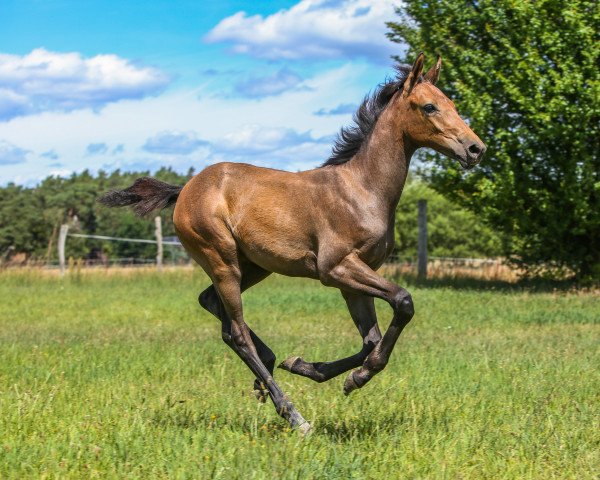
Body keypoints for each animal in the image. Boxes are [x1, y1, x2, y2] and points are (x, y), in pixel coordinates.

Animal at [99, 54, 488, 434]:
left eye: (452, 104)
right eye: (429, 107)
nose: (476, 148)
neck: (361, 190)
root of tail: (184, 190)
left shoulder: (355, 279)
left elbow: (370, 340)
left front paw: (310, 367)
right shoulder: (337, 269)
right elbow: (403, 302)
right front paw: (355, 377)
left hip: (253, 266)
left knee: (214, 308)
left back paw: (269, 368)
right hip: (222, 260)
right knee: (236, 332)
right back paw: (294, 415)